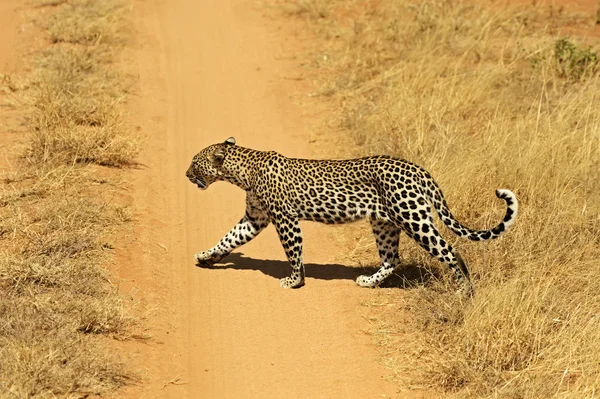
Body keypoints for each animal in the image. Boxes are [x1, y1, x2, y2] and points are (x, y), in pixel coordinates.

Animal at [185, 138, 516, 294]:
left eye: (195, 162)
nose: (186, 174)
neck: (244, 171)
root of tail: (419, 169)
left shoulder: (285, 218)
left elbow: (293, 251)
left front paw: (294, 281)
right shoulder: (255, 218)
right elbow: (228, 238)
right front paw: (206, 256)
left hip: (413, 217)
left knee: (449, 249)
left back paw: (464, 290)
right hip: (384, 222)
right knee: (391, 258)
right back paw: (369, 281)